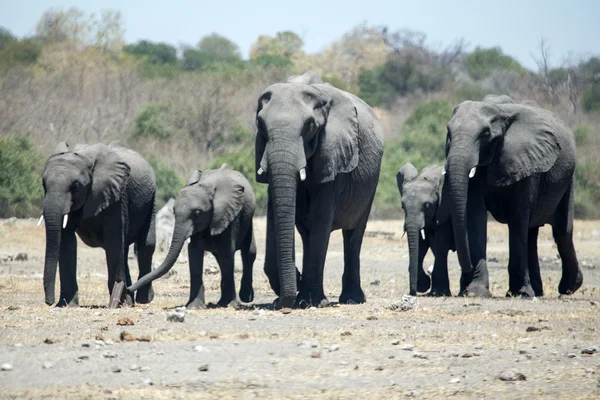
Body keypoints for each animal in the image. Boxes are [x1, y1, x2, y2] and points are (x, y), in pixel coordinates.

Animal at [40, 140, 156, 306]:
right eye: (43, 184)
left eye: (75, 187)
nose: (49, 302)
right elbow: (67, 241)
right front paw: (66, 305)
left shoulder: (117, 195)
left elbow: (114, 239)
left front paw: (121, 304)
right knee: (124, 249)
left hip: (151, 199)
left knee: (145, 245)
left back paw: (142, 300)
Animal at [127, 164, 254, 308]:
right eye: (173, 211)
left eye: (197, 213)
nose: (128, 289)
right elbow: (194, 251)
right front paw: (195, 307)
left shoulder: (229, 214)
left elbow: (227, 250)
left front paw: (229, 305)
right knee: (220, 258)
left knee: (248, 252)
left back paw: (245, 298)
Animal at [254, 71, 384, 310]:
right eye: (261, 125)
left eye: (309, 127)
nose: (280, 302)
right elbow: (274, 213)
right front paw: (293, 290)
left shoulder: (333, 153)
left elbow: (321, 217)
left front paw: (310, 301)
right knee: (308, 234)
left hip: (371, 182)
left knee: (353, 235)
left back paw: (351, 299)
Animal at [398, 162, 454, 296]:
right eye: (402, 206)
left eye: (427, 206)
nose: (412, 293)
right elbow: (421, 244)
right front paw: (423, 285)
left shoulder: (445, 211)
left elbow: (440, 243)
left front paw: (438, 293)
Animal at [446, 94, 580, 296]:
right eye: (448, 132)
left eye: (485, 133)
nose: (466, 269)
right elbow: (475, 215)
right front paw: (476, 292)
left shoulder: (530, 162)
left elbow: (518, 215)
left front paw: (521, 293)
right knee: (532, 233)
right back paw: (538, 291)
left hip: (568, 178)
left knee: (562, 232)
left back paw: (568, 288)